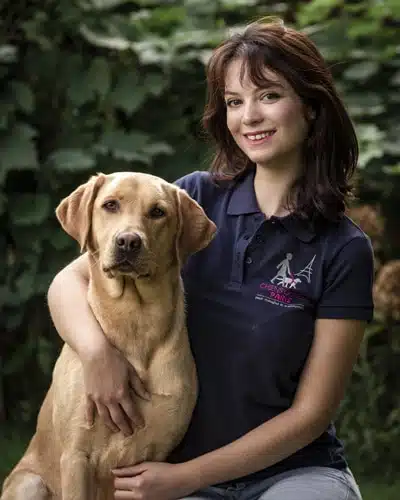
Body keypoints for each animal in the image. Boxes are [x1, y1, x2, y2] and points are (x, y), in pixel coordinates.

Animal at [1, 173, 217, 500]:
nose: (128, 241)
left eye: (158, 212)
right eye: (110, 205)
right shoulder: (76, 456)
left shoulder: (154, 460)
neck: (134, 320)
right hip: (30, 483)